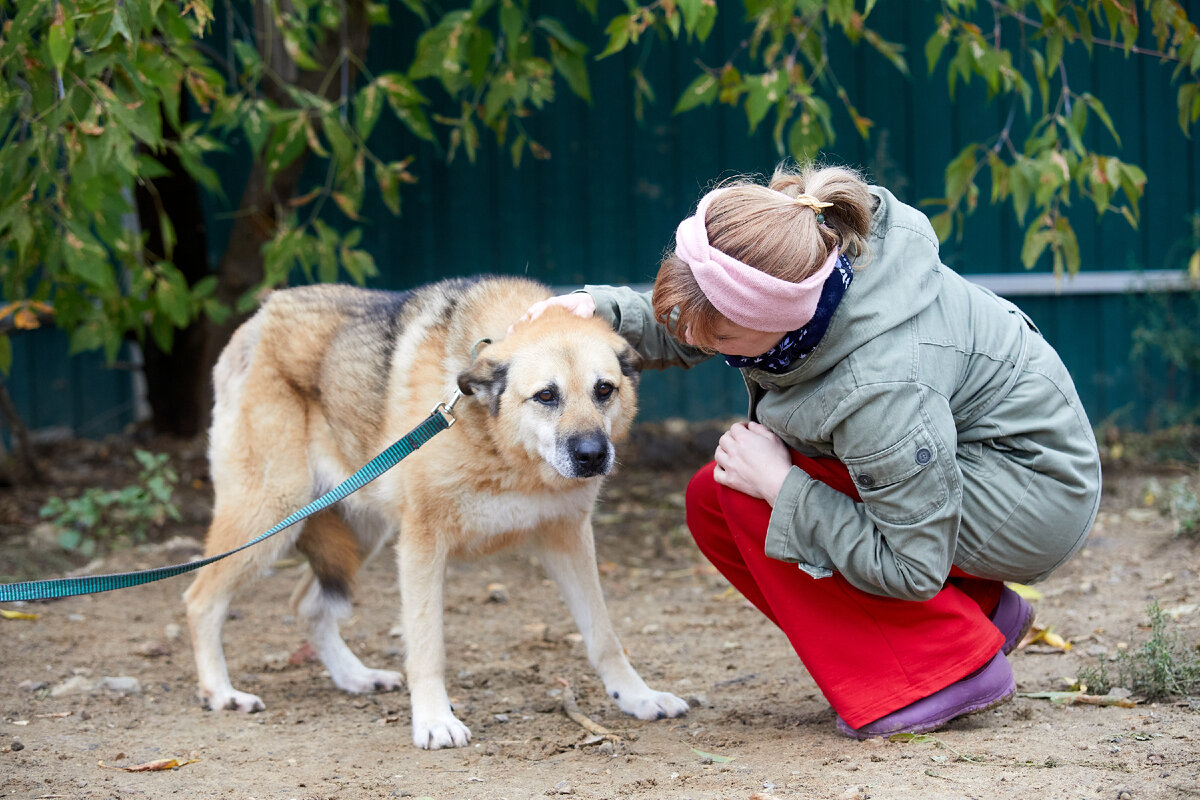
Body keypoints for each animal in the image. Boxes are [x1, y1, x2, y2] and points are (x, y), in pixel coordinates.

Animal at [178, 275, 686, 753]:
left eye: (604, 390)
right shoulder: (422, 545)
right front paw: (434, 720)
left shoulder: (568, 538)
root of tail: (263, 314)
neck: (502, 450)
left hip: (359, 529)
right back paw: (221, 693)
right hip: (271, 513)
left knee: (307, 603)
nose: (593, 456)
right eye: (546, 396)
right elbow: (426, 647)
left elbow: (603, 636)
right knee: (201, 599)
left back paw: (355, 677)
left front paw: (637, 696)